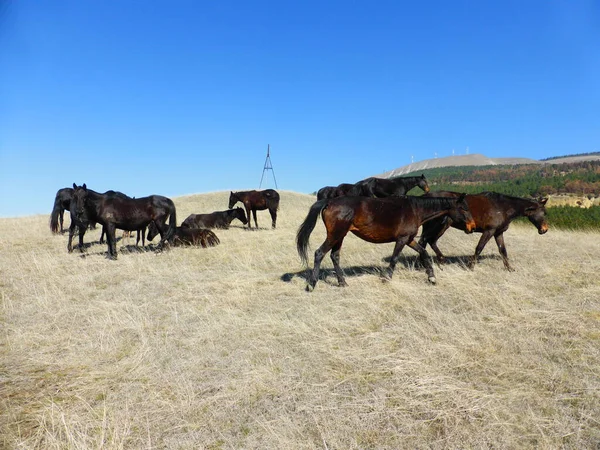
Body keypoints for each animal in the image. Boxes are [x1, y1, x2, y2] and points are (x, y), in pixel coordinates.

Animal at [294, 195, 474, 290]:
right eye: (463, 208)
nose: (472, 226)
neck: (415, 210)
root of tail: (329, 201)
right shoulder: (402, 239)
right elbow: (394, 258)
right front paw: (386, 277)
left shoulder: (409, 239)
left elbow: (424, 253)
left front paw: (431, 277)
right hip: (336, 235)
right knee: (319, 253)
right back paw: (312, 284)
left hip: (340, 236)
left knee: (334, 256)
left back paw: (343, 282)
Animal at [418, 190, 548, 270]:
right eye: (543, 212)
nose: (544, 230)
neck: (503, 206)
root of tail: (424, 197)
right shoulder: (489, 231)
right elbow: (479, 248)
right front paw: (470, 266)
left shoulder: (498, 233)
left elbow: (503, 250)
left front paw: (509, 268)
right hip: (438, 226)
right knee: (427, 241)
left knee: (427, 242)